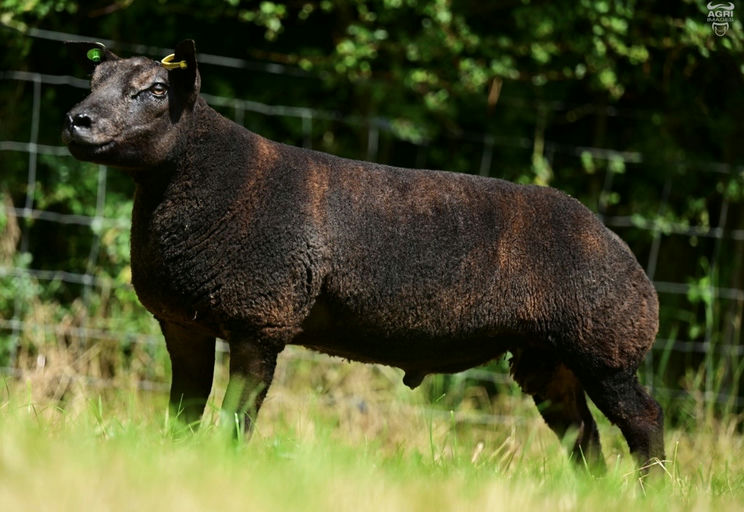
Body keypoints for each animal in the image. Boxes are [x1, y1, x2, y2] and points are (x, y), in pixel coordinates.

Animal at [62, 40, 664, 471]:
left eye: (155, 90)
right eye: (92, 83)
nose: (76, 121)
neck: (205, 177)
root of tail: (621, 250)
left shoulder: (262, 319)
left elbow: (236, 419)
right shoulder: (183, 323)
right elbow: (183, 413)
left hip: (605, 346)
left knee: (644, 420)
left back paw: (651, 489)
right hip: (548, 357)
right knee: (584, 438)